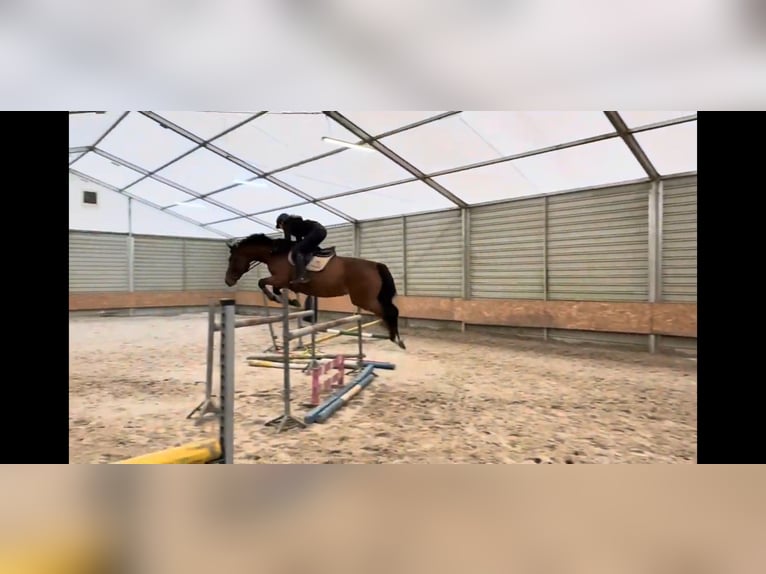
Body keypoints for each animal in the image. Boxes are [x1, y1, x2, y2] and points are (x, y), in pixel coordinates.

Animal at [224, 233, 406, 349]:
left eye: (232, 259)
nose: (228, 281)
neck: (274, 254)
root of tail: (375, 265)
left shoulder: (280, 279)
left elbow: (262, 282)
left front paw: (278, 299)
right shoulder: (284, 282)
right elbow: (274, 288)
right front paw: (291, 300)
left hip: (363, 299)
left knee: (389, 311)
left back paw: (395, 339)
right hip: (367, 298)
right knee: (390, 310)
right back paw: (396, 338)